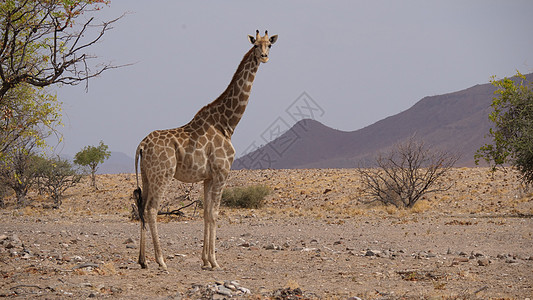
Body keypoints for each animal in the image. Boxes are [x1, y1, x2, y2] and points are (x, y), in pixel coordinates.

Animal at [133, 31, 276, 272]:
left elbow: (206, 214)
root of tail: (141, 145)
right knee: (152, 209)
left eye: (270, 45)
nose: (265, 57)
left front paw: (205, 260)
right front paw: (215, 261)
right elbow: (215, 214)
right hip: (163, 174)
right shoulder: (221, 172)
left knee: (142, 207)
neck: (227, 124)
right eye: (256, 45)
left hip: (147, 175)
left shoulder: (208, 177)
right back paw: (161, 260)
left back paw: (143, 260)